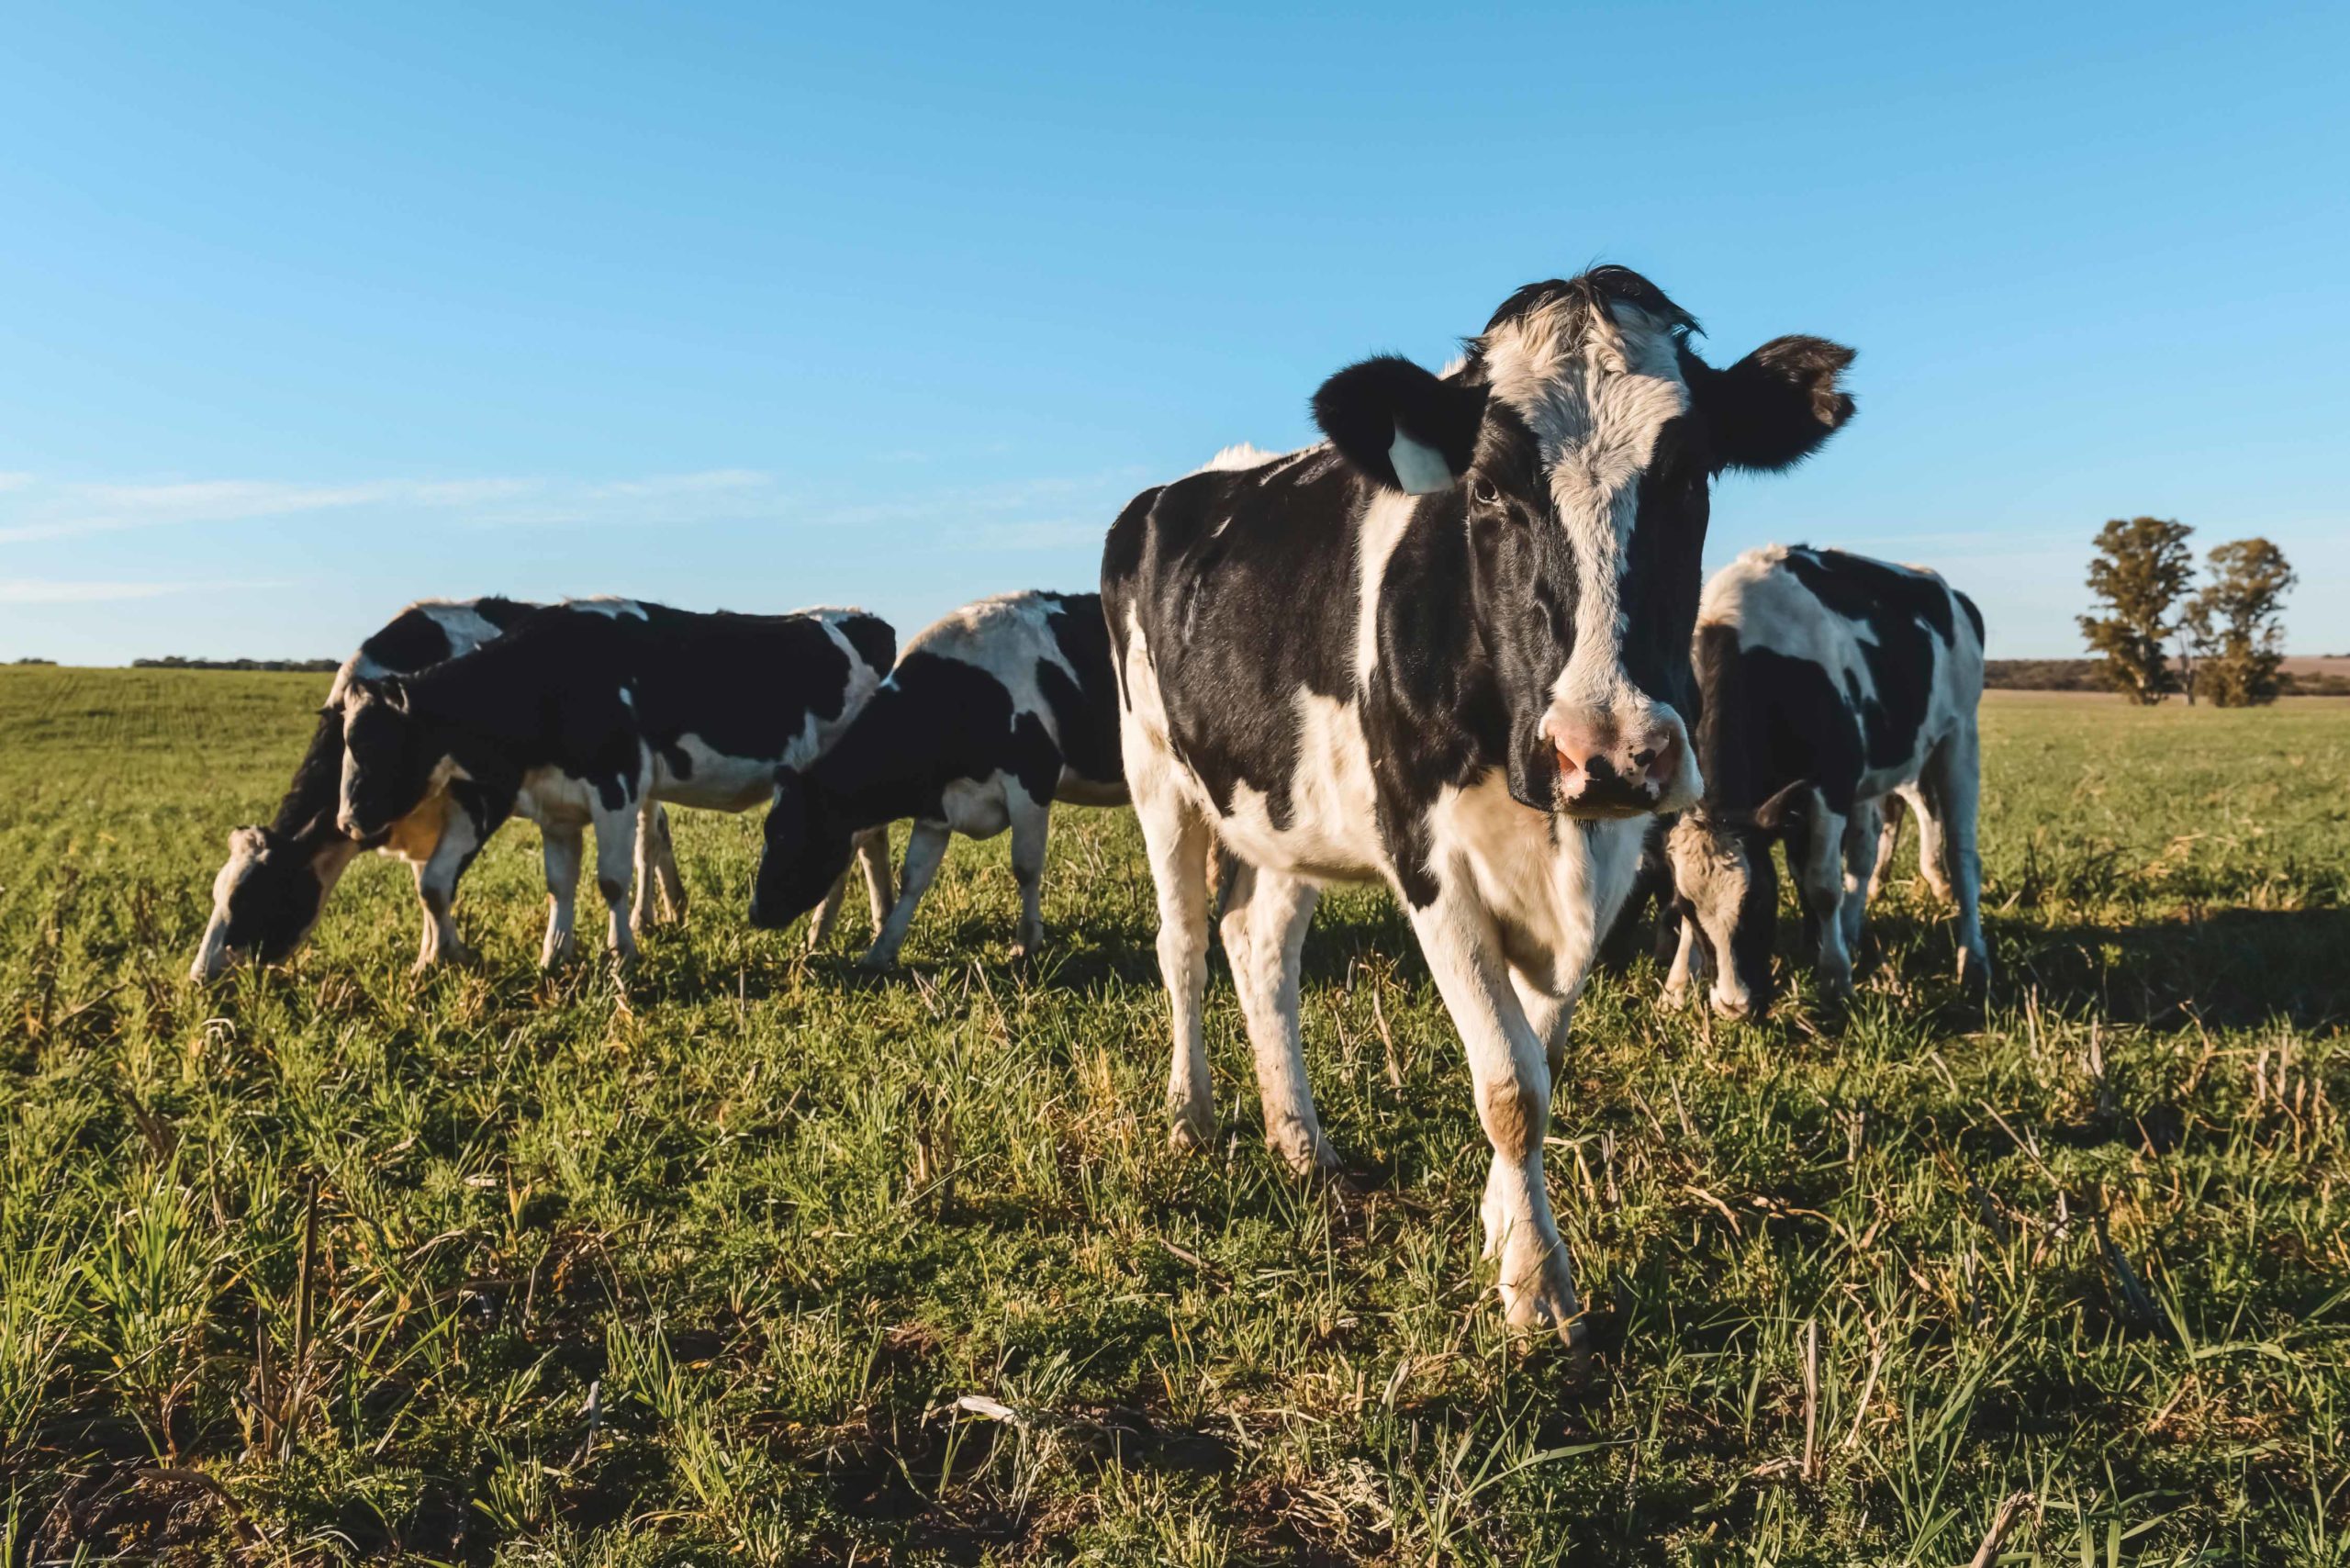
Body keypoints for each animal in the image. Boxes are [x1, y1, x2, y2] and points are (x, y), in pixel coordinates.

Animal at [186, 601, 695, 982]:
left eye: (250, 898)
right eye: (217, 894)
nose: (198, 976)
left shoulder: (480, 796)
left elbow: (436, 884)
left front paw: (444, 956)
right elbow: (427, 887)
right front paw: (435, 953)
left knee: (648, 837)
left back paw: (646, 915)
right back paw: (672, 907)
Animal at [341, 601, 897, 969]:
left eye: (377, 744)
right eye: (345, 741)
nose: (347, 822)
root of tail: (861, 617)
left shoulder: (616, 787)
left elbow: (612, 879)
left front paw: (622, 953)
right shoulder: (555, 808)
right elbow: (559, 884)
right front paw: (554, 956)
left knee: (860, 847)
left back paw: (839, 926)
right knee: (868, 843)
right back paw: (863, 920)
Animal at [747, 592, 1123, 969]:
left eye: (789, 834)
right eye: (768, 830)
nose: (756, 912)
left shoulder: (1032, 783)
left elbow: (1026, 867)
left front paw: (1027, 942)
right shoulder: (937, 808)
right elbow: (913, 878)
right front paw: (880, 951)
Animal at [1100, 270, 1852, 1353]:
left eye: (1691, 476)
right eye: (1490, 489)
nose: (1605, 748)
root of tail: (1188, 485)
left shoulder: (1612, 853)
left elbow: (1540, 1054)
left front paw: (1504, 1227)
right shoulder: (1428, 861)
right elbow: (1509, 1083)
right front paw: (1537, 1284)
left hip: (1287, 808)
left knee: (1260, 945)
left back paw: (1300, 1140)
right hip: (1156, 772)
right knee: (1185, 946)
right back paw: (1190, 1117)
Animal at [1663, 545, 1992, 1025]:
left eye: (1760, 901)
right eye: (1685, 909)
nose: (1734, 1006)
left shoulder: (1831, 784)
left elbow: (1821, 885)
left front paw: (1835, 978)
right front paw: (1676, 987)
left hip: (1960, 737)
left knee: (1962, 855)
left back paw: (1973, 962)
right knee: (1866, 848)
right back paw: (1852, 928)